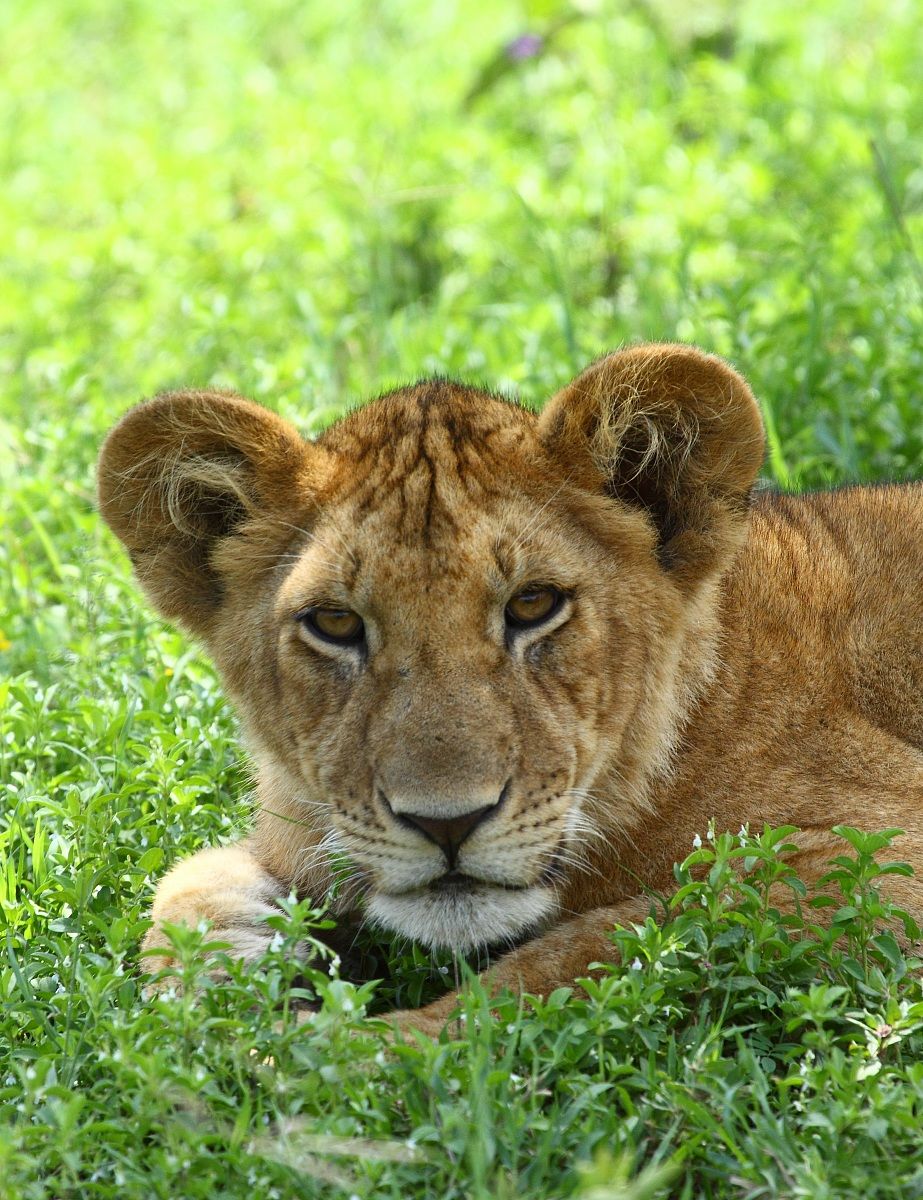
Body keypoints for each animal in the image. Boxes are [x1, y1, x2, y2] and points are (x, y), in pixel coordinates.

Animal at [97, 343, 923, 1034]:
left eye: (532, 604)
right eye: (334, 622)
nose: (446, 824)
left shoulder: (883, 857)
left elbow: (600, 945)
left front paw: (340, 1054)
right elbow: (182, 889)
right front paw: (225, 980)